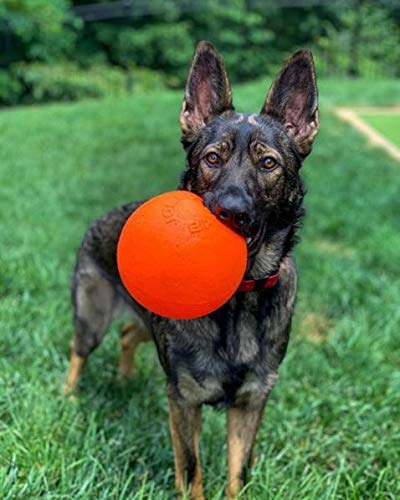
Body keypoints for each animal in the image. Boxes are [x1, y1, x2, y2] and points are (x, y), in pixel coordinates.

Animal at [63, 41, 318, 498]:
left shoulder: (251, 401)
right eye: (212, 159)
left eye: (268, 164)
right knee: (79, 352)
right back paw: (69, 395)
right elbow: (192, 470)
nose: (231, 212)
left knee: (127, 334)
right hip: (92, 319)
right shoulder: (183, 398)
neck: (238, 297)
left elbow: (239, 473)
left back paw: (124, 378)